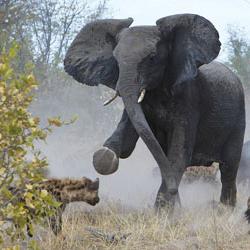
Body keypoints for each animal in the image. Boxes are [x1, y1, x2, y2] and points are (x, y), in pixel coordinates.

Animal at [63, 13, 245, 209]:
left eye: (151, 58)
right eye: (116, 60)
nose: (174, 190)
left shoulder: (190, 99)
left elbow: (179, 154)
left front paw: (164, 210)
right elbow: (126, 142)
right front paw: (105, 155)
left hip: (239, 119)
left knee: (228, 168)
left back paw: (225, 210)